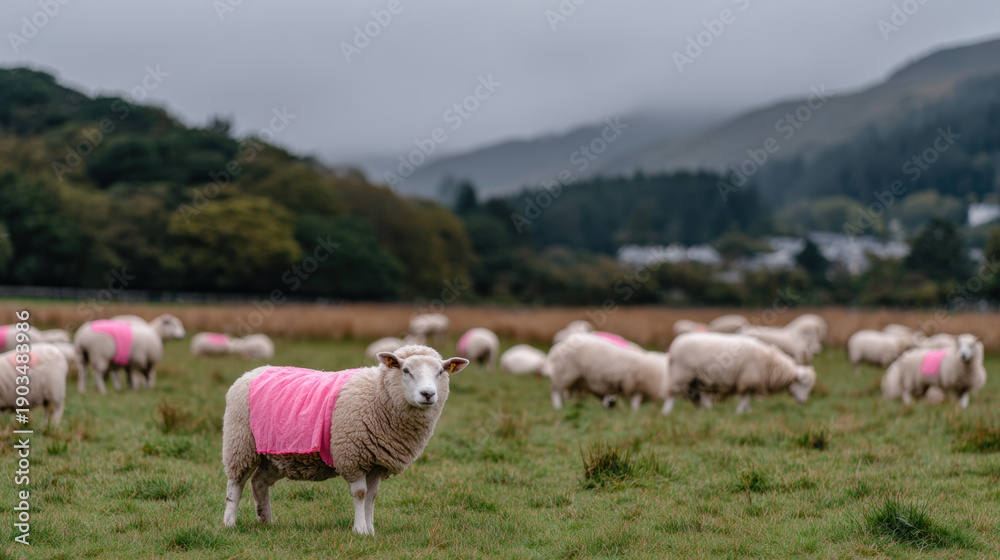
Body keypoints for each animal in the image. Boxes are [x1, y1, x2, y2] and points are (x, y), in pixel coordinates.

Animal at [221, 344, 469, 534]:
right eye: (406, 370)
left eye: (441, 372)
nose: (428, 394)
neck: (377, 396)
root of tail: (253, 372)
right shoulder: (353, 456)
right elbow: (360, 494)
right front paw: (359, 531)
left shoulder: (377, 461)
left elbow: (372, 496)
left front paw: (371, 530)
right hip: (240, 441)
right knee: (236, 484)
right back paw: (229, 523)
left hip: (275, 454)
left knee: (259, 481)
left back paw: (266, 521)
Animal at [665, 332, 816, 414]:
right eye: (804, 384)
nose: (804, 401)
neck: (769, 363)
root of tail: (674, 344)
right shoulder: (749, 379)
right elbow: (744, 400)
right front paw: (739, 413)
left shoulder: (750, 383)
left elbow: (747, 400)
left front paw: (747, 413)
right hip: (680, 375)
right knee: (671, 396)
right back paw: (666, 413)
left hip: (695, 380)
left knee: (697, 397)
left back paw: (703, 412)